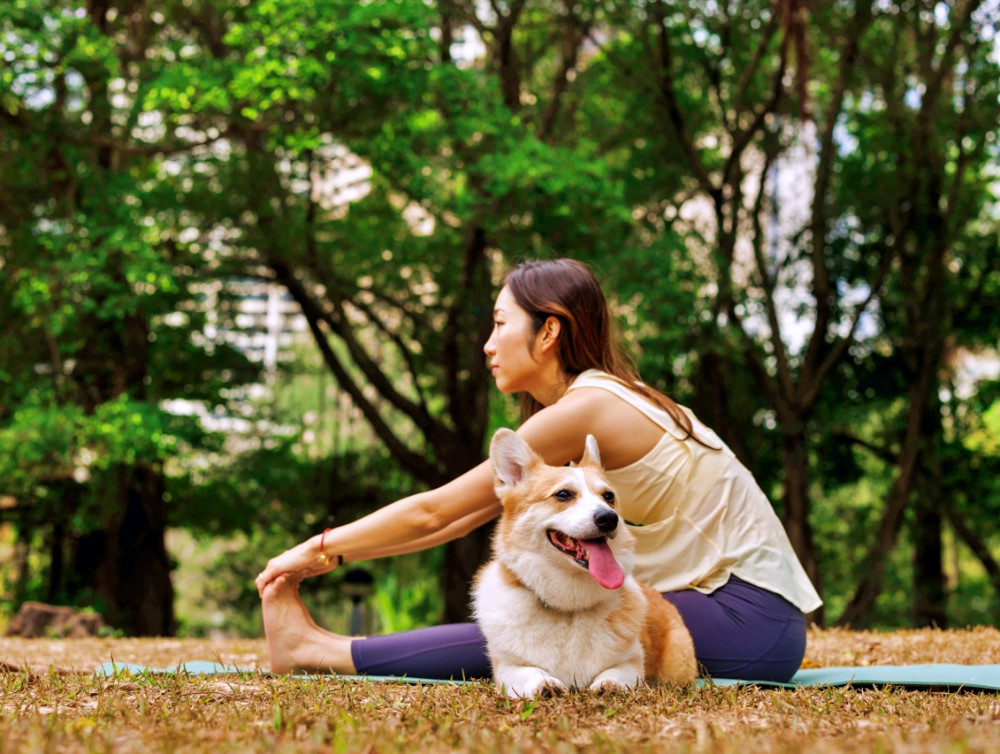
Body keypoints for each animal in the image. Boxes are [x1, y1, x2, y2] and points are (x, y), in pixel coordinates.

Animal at [474, 428, 696, 700]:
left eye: (609, 497)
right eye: (563, 494)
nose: (609, 518)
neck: (569, 607)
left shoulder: (632, 663)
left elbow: (617, 672)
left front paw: (609, 685)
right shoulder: (507, 667)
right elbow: (529, 672)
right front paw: (545, 684)